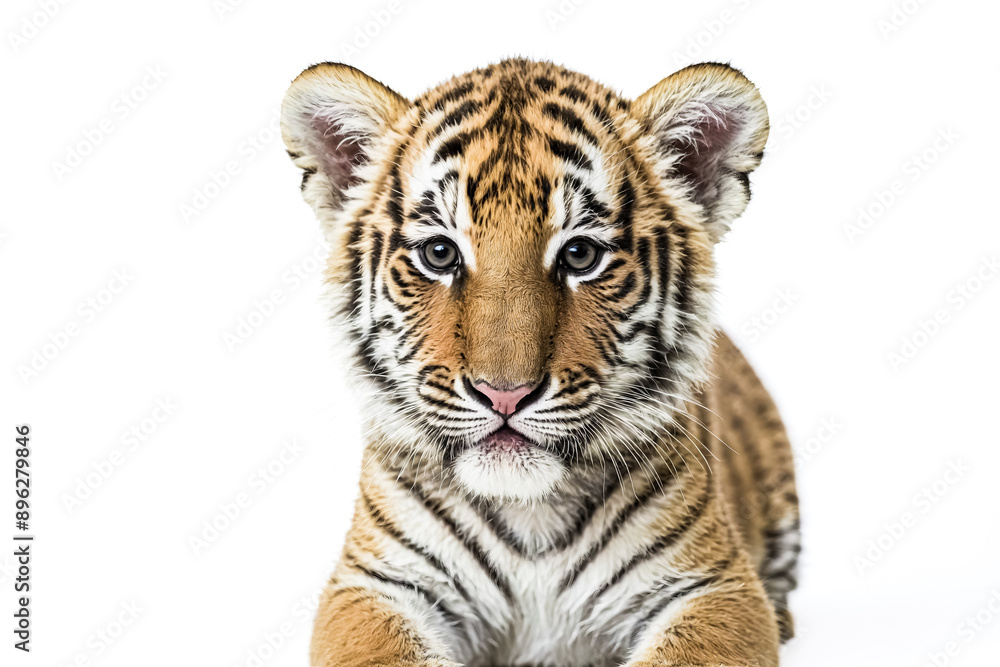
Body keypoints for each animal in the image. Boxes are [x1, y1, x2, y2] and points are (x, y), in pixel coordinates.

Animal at [279, 58, 800, 667]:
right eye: (439, 253)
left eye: (580, 254)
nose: (504, 394)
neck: (530, 512)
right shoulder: (373, 583)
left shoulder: (713, 584)